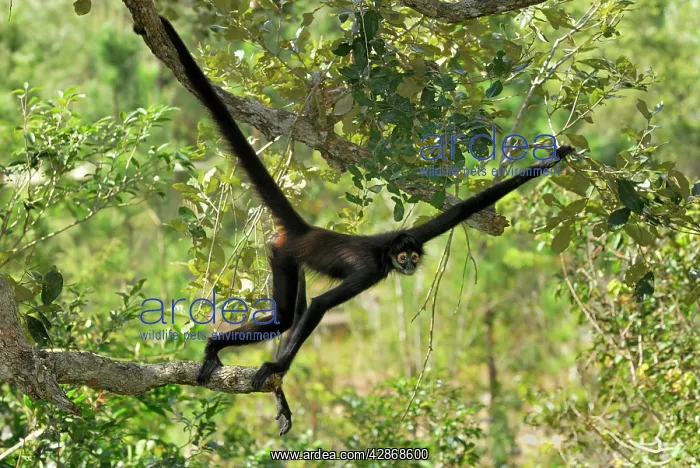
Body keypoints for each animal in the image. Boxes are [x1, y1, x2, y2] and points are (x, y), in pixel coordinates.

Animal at [153, 15, 573, 431]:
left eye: (413, 256)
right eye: (403, 258)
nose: (410, 265)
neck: (386, 251)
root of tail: (306, 230)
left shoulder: (417, 233)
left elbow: (462, 210)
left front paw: (554, 159)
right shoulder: (371, 268)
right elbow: (321, 305)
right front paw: (276, 365)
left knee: (287, 316)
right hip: (282, 252)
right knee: (289, 314)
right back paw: (220, 350)